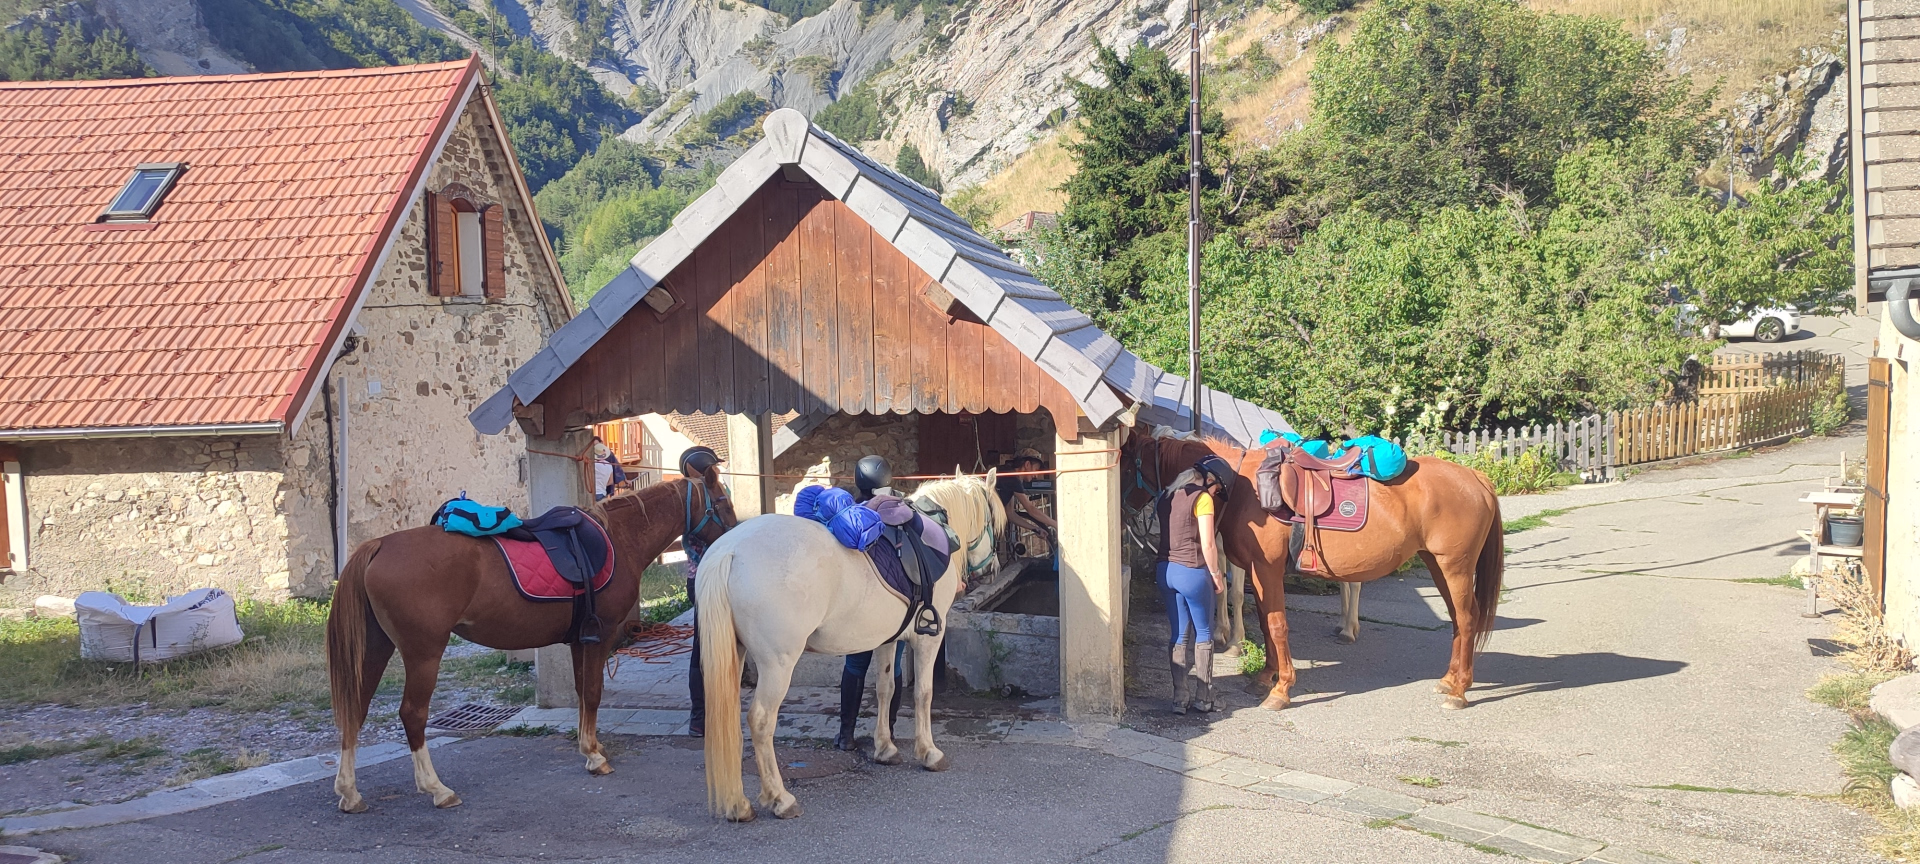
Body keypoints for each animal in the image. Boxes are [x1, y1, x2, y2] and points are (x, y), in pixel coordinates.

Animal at [325, 467, 736, 813]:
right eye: (722, 502)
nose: (735, 537)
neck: (619, 538)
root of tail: (378, 545)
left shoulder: (579, 641)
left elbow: (582, 692)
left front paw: (590, 745)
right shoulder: (599, 636)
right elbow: (593, 693)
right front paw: (594, 756)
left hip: (376, 648)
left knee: (356, 709)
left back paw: (349, 792)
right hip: (423, 653)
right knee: (412, 714)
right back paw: (436, 789)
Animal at [697, 472, 1006, 822]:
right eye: (993, 520)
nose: (993, 568)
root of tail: (729, 551)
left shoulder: (887, 640)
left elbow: (886, 688)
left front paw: (885, 748)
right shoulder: (928, 639)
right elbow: (923, 694)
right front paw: (929, 752)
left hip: (734, 656)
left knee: (727, 720)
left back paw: (738, 804)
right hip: (778, 665)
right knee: (761, 721)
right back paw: (780, 799)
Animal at [1127, 430, 1503, 710]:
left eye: (1130, 462)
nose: (1124, 510)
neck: (1244, 487)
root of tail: (1476, 478)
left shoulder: (1266, 569)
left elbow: (1276, 625)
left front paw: (1281, 690)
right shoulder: (1259, 573)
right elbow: (1265, 621)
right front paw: (1266, 677)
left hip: (1455, 568)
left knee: (1467, 619)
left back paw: (1459, 691)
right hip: (1439, 566)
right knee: (1458, 620)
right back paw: (1449, 680)